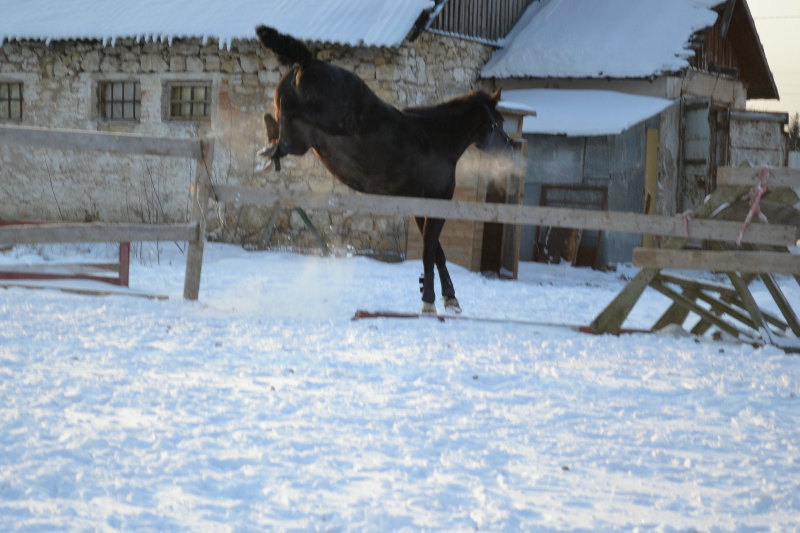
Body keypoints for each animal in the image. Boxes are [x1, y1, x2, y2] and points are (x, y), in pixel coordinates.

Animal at [255, 25, 512, 314]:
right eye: (498, 122)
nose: (510, 147)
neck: (436, 139)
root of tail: (307, 63)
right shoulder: (437, 203)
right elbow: (429, 253)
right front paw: (430, 302)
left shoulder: (420, 206)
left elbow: (437, 254)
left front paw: (450, 299)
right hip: (330, 122)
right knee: (287, 125)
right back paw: (270, 153)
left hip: (303, 142)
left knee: (277, 127)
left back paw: (269, 153)